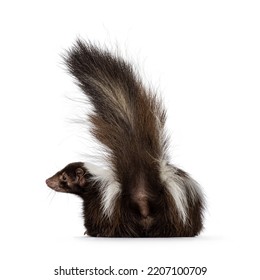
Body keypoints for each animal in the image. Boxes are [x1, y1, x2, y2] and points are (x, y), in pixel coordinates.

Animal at [46, 39, 205, 236]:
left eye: (63, 178)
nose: (47, 181)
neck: (94, 181)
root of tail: (142, 196)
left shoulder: (98, 202)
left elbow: (93, 218)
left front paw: (89, 232)